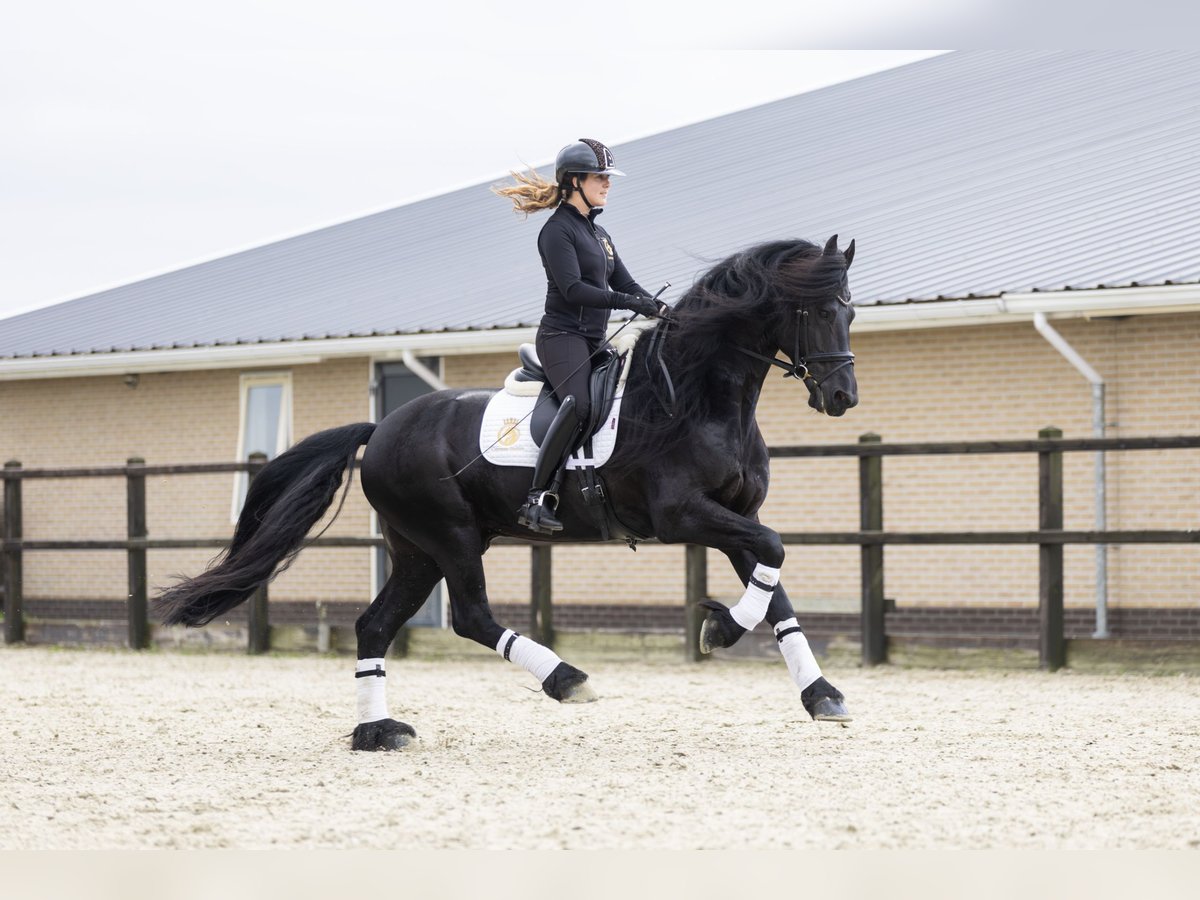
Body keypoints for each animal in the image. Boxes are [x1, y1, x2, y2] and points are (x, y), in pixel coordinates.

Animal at [157, 232, 854, 748]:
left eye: (849, 311)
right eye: (817, 311)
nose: (843, 397)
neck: (696, 398)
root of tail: (382, 427)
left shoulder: (735, 514)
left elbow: (774, 585)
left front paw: (818, 693)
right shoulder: (682, 515)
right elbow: (775, 551)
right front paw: (722, 629)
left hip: (417, 550)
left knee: (375, 625)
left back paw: (378, 732)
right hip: (451, 536)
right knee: (469, 616)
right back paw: (567, 679)